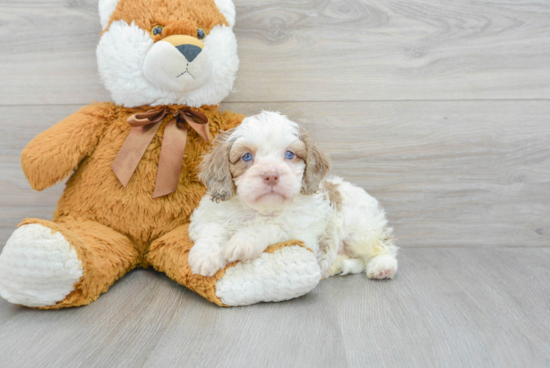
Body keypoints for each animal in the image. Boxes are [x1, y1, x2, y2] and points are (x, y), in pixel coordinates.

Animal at [188, 110, 398, 280]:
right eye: (247, 156)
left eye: (289, 154)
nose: (271, 175)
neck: (261, 210)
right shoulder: (206, 215)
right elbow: (212, 228)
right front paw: (205, 256)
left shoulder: (302, 235)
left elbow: (272, 226)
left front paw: (245, 240)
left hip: (361, 231)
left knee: (383, 246)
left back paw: (383, 266)